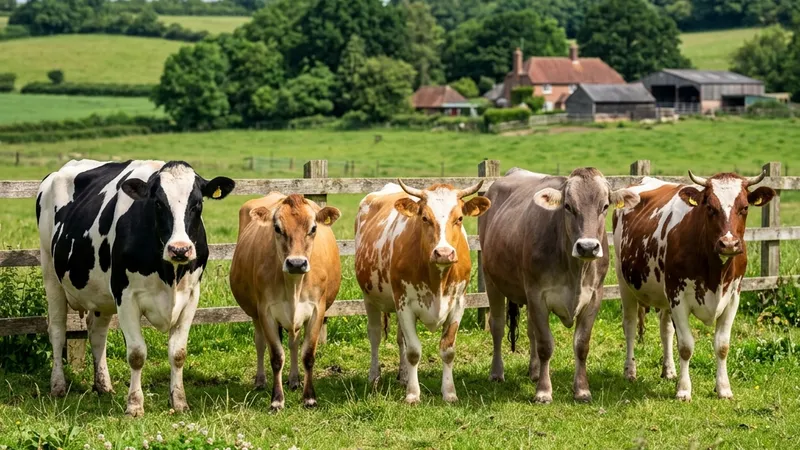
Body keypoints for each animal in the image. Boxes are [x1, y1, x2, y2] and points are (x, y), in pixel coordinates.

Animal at [37, 160, 235, 417]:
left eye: (198, 203)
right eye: (158, 203)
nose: (180, 249)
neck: (169, 272)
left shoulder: (191, 296)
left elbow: (178, 353)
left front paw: (179, 402)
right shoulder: (126, 296)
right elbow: (137, 354)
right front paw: (134, 405)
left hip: (101, 294)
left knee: (97, 333)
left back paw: (103, 385)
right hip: (50, 273)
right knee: (58, 330)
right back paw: (58, 386)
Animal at [229, 193, 341, 409]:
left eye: (313, 228)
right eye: (277, 228)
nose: (296, 263)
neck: (293, 285)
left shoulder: (317, 310)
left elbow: (308, 354)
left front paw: (309, 398)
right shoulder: (265, 312)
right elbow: (276, 356)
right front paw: (277, 400)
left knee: (293, 343)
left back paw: (295, 379)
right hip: (255, 313)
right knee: (260, 343)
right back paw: (260, 381)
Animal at [354, 180, 490, 404]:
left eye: (459, 218)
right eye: (425, 218)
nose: (443, 253)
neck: (437, 279)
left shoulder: (458, 303)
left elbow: (447, 350)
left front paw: (449, 392)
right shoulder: (405, 305)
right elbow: (413, 351)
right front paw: (412, 394)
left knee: (400, 338)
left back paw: (403, 376)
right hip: (370, 298)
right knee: (374, 335)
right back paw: (374, 377)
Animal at [479, 167, 640, 403]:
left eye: (604, 206)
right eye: (568, 206)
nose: (587, 247)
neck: (575, 271)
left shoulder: (594, 297)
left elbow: (581, 345)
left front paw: (582, 390)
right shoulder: (537, 295)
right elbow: (546, 345)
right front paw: (543, 391)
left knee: (531, 331)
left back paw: (534, 371)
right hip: (492, 281)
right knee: (498, 327)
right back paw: (497, 373)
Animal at [613, 170, 775, 401]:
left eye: (744, 207)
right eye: (710, 207)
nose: (728, 244)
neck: (716, 273)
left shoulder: (733, 297)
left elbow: (722, 345)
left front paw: (723, 388)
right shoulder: (678, 296)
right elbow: (686, 346)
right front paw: (683, 390)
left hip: (664, 294)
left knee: (665, 329)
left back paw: (669, 370)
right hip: (624, 282)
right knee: (629, 325)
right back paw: (630, 371)